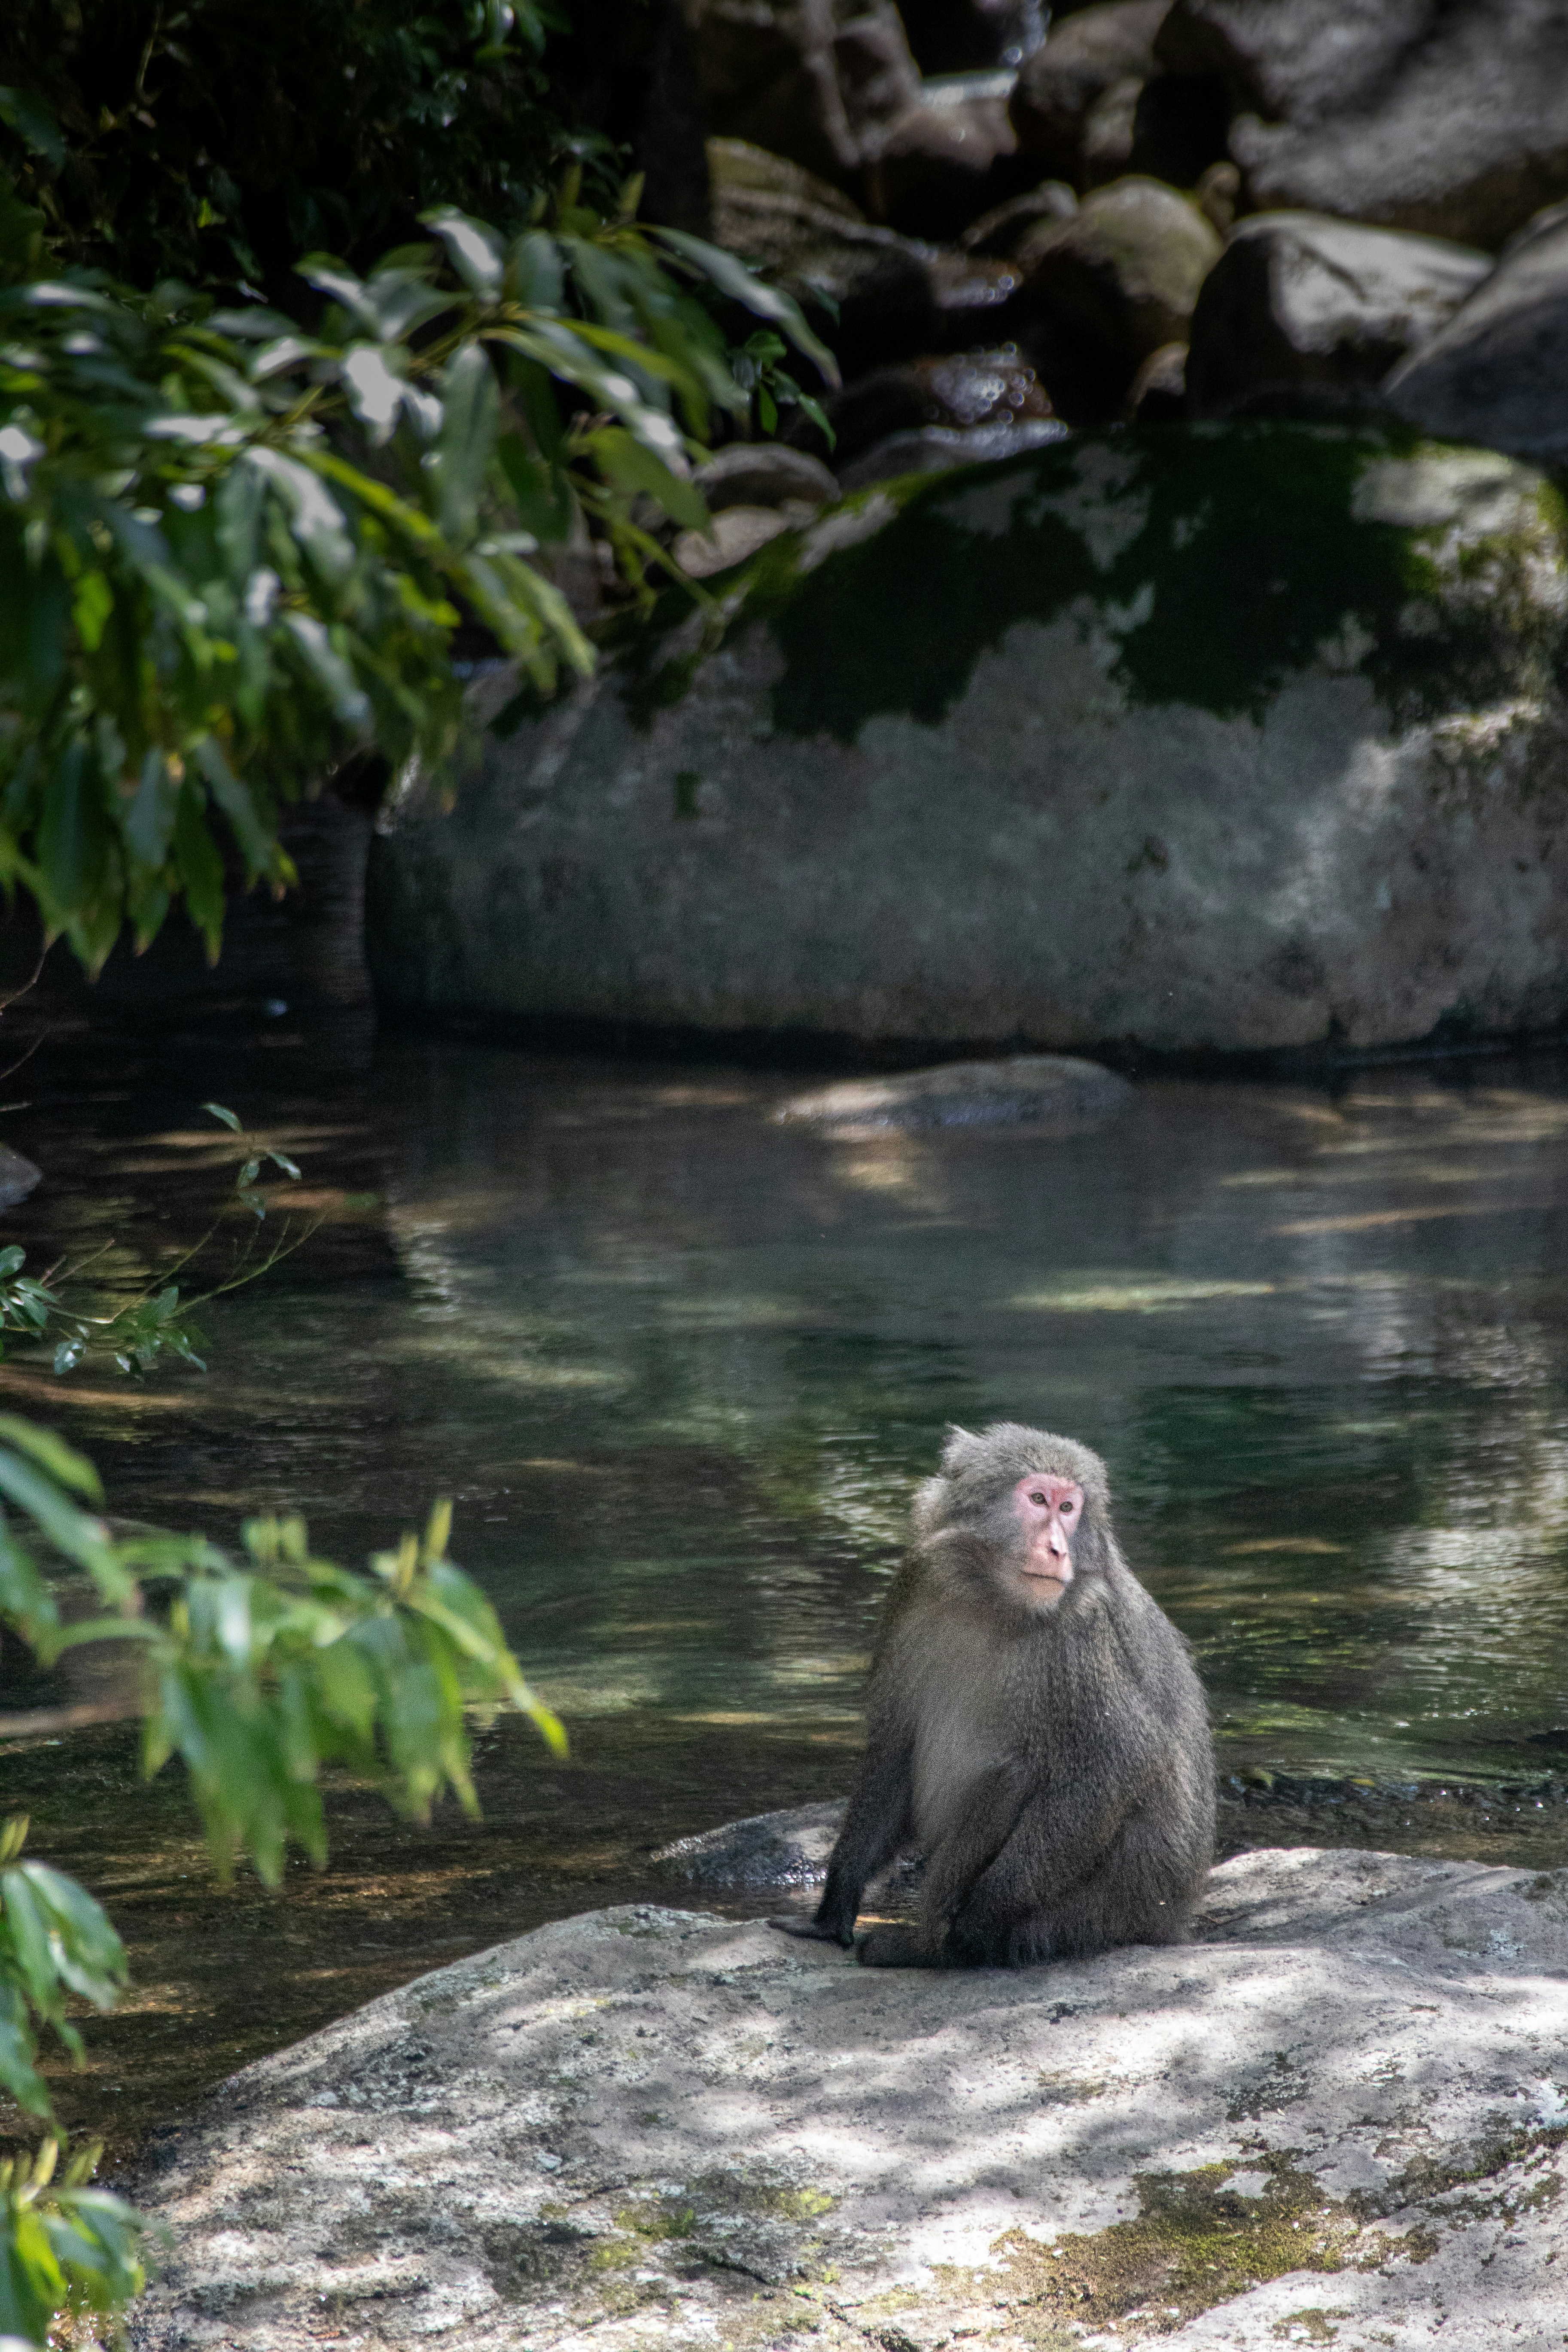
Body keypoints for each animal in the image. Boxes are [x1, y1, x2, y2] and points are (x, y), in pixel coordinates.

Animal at [772, 1423, 1214, 1967]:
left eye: (1069, 1508)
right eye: (1039, 1499)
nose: (1058, 1549)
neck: (993, 1598)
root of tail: (1169, 1918)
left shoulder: (1083, 1626)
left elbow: (1121, 1762)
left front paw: (978, 1918)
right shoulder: (919, 1580)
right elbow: (895, 1744)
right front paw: (835, 1906)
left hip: (1091, 1914)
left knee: (1015, 1775)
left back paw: (928, 1948)